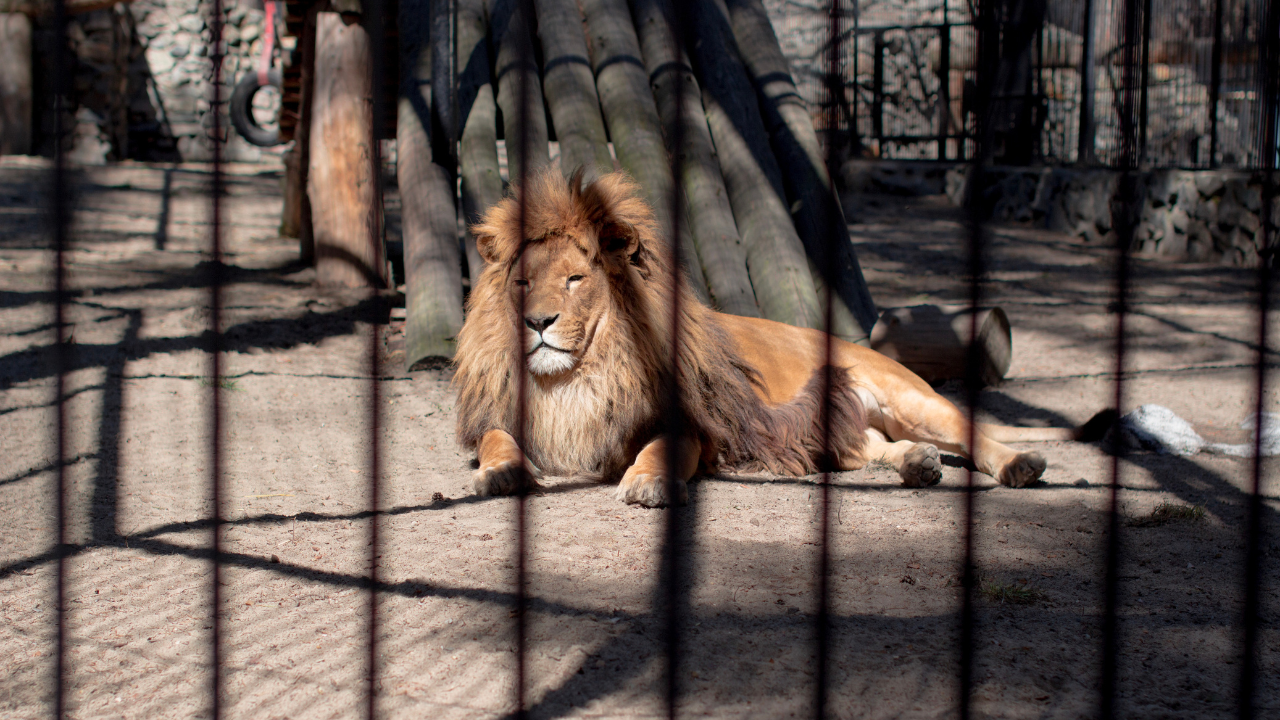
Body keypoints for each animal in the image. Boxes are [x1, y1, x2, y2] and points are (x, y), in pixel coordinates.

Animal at [453, 167, 1100, 504]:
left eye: (575, 278)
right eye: (523, 282)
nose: (537, 323)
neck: (577, 377)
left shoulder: (695, 425)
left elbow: (664, 448)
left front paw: (647, 481)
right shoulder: (509, 415)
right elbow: (496, 440)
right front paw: (502, 473)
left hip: (911, 397)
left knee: (973, 432)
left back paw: (1018, 465)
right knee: (871, 446)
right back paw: (916, 465)